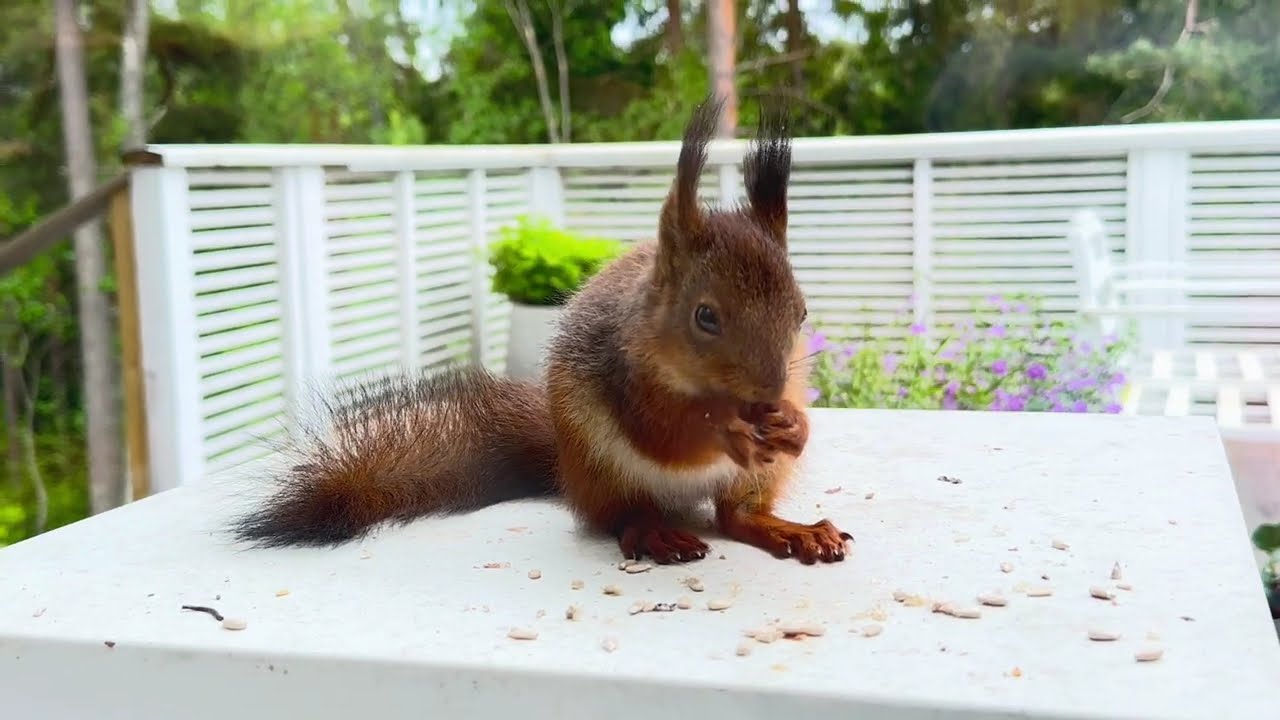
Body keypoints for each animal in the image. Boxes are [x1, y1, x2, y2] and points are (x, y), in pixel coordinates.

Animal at [230, 96, 853, 565]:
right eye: (705, 317)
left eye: (801, 313)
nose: (768, 395)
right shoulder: (626, 376)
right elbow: (665, 435)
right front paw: (727, 430)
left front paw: (793, 424)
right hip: (600, 468)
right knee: (619, 516)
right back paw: (653, 532)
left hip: (752, 481)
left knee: (736, 515)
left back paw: (790, 529)